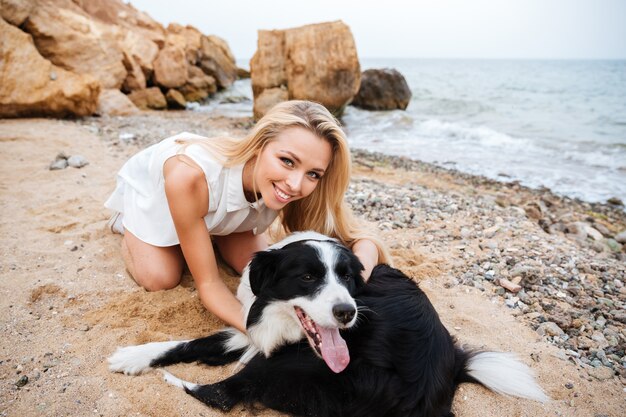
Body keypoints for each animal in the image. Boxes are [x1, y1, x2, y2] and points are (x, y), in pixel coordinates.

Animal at [108, 231, 544, 416]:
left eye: (348, 278)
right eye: (307, 277)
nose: (348, 313)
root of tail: (449, 366)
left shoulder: (273, 346)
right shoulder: (255, 328)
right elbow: (195, 341)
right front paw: (134, 356)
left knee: (222, 393)